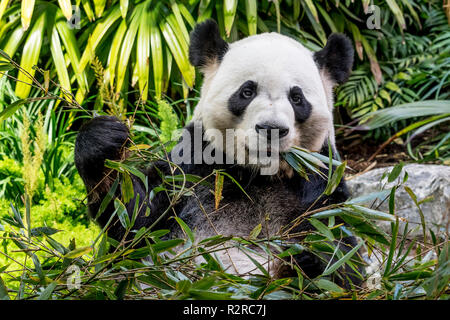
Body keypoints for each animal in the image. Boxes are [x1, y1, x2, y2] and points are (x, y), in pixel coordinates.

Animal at [74, 20, 362, 290]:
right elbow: (136, 220)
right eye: (247, 91)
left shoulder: (318, 182)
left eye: (297, 98)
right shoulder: (193, 166)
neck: (258, 175)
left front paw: (304, 261)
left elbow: (341, 253)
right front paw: (103, 138)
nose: (271, 128)